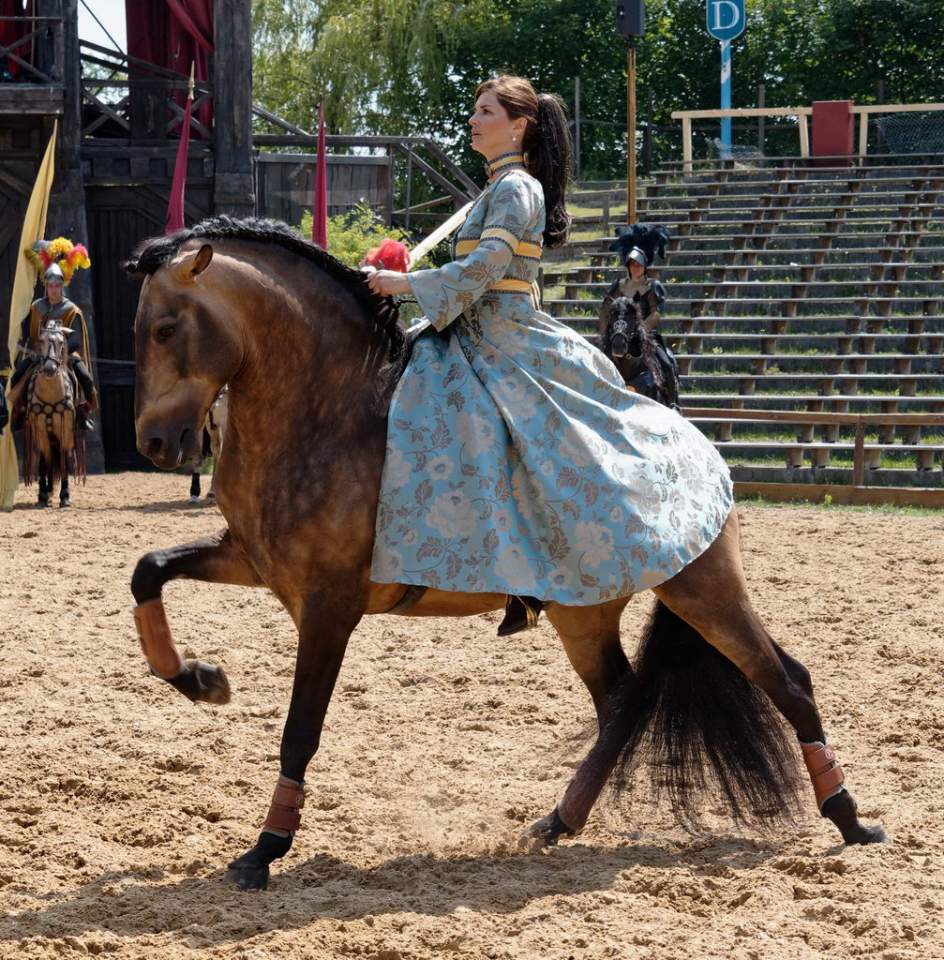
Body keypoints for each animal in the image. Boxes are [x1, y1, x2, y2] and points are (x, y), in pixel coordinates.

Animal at [22, 320, 81, 507]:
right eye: (41, 341)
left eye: (61, 342)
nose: (49, 369)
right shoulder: (40, 428)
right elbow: (43, 459)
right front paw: (42, 495)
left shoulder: (66, 429)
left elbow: (65, 458)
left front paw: (65, 496)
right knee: (47, 458)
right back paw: (47, 491)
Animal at [126, 217, 887, 891]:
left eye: (166, 329)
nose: (155, 444)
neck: (326, 410)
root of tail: (697, 443)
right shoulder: (254, 563)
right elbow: (148, 571)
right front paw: (198, 678)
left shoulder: (329, 607)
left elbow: (299, 731)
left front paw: (265, 850)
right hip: (587, 613)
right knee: (623, 705)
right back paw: (560, 820)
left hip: (703, 591)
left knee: (786, 682)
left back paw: (851, 819)